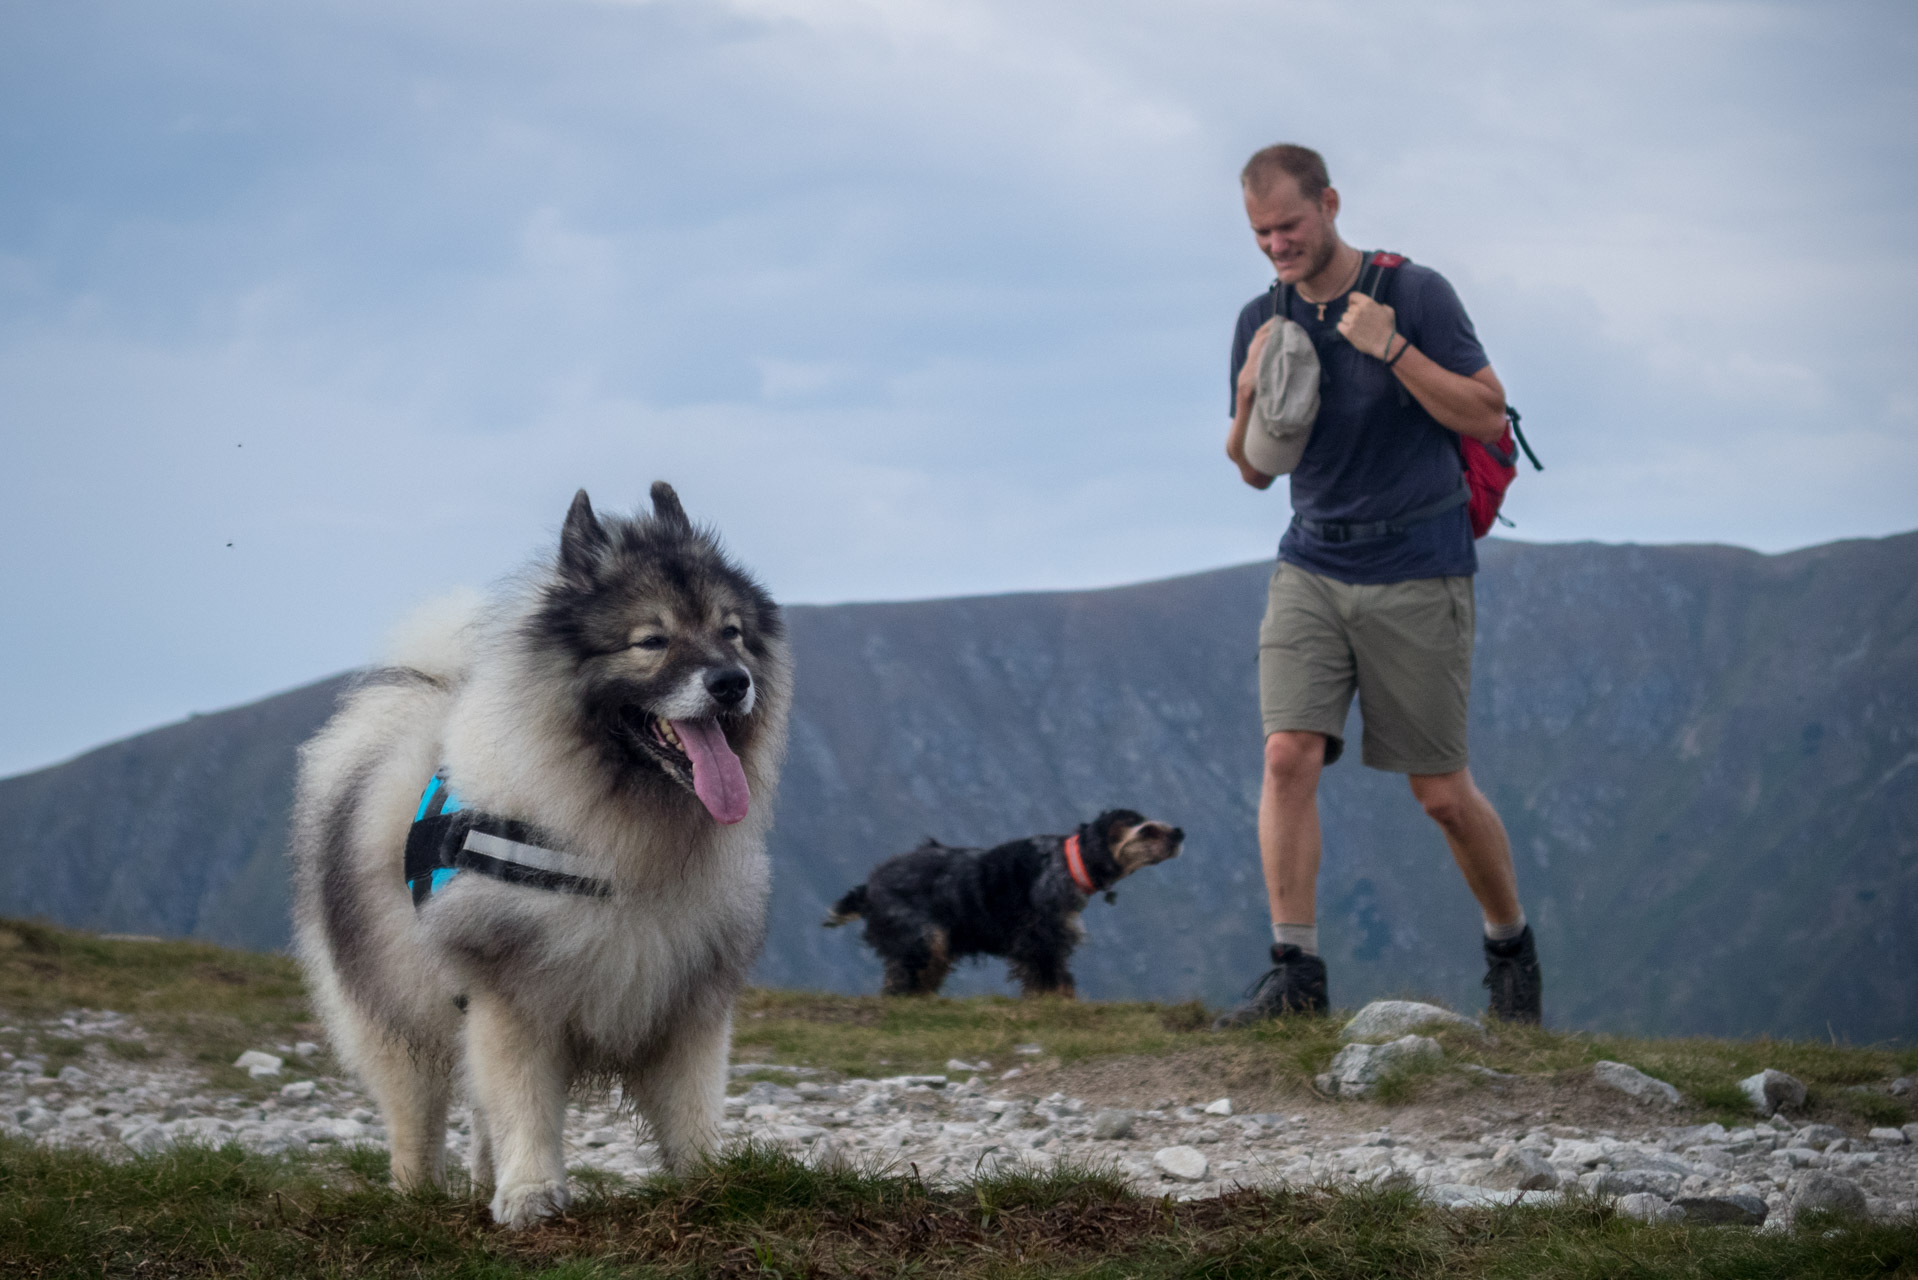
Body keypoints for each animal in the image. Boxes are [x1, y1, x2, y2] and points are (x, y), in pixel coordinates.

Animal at [291, 483, 786, 1228]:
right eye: (652, 640)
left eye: (731, 631)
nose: (731, 682)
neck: (622, 838)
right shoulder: (511, 993)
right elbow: (524, 1103)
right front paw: (529, 1193)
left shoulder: (688, 994)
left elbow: (692, 1106)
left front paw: (712, 1182)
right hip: (397, 1007)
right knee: (416, 1116)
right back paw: (418, 1195)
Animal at [828, 809, 1181, 997]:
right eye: (1146, 831)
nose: (1180, 832)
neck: (1071, 862)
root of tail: (869, 886)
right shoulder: (1041, 936)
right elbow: (1052, 978)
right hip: (924, 937)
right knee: (904, 977)